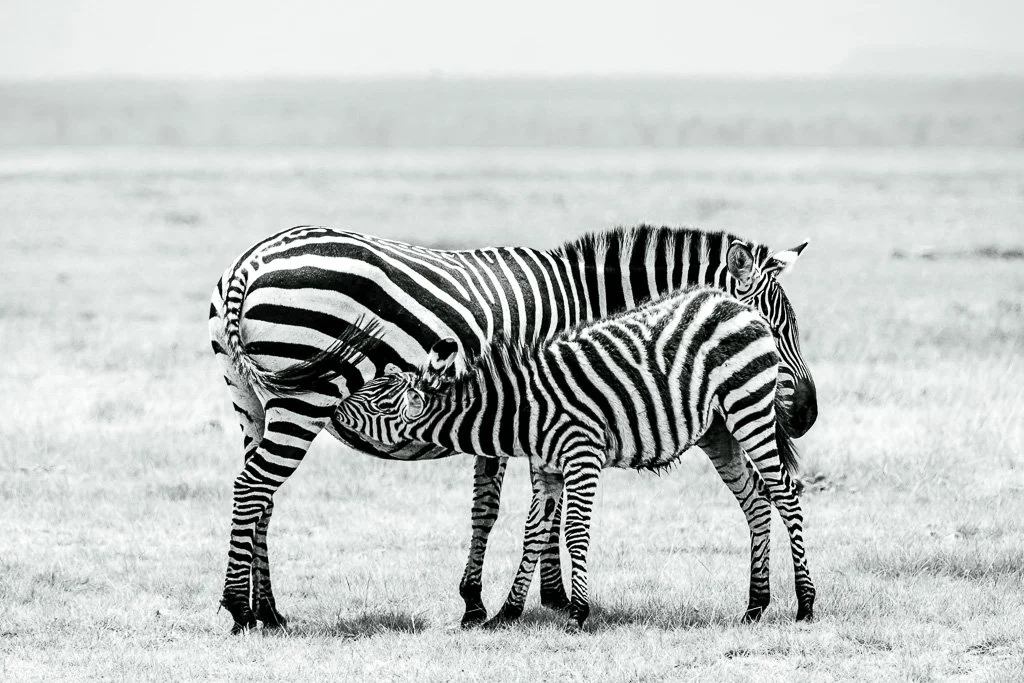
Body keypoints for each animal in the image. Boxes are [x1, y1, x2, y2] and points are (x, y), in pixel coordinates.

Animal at [333, 286, 815, 629]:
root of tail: (737, 304)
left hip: (748, 407)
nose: (333, 409)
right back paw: (754, 607)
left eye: (375, 403)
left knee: (785, 493)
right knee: (756, 501)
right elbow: (532, 533)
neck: (522, 408)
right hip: (718, 432)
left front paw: (578, 613)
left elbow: (575, 533)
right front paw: (506, 613)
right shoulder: (548, 468)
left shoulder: (582, 455)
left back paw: (805, 605)